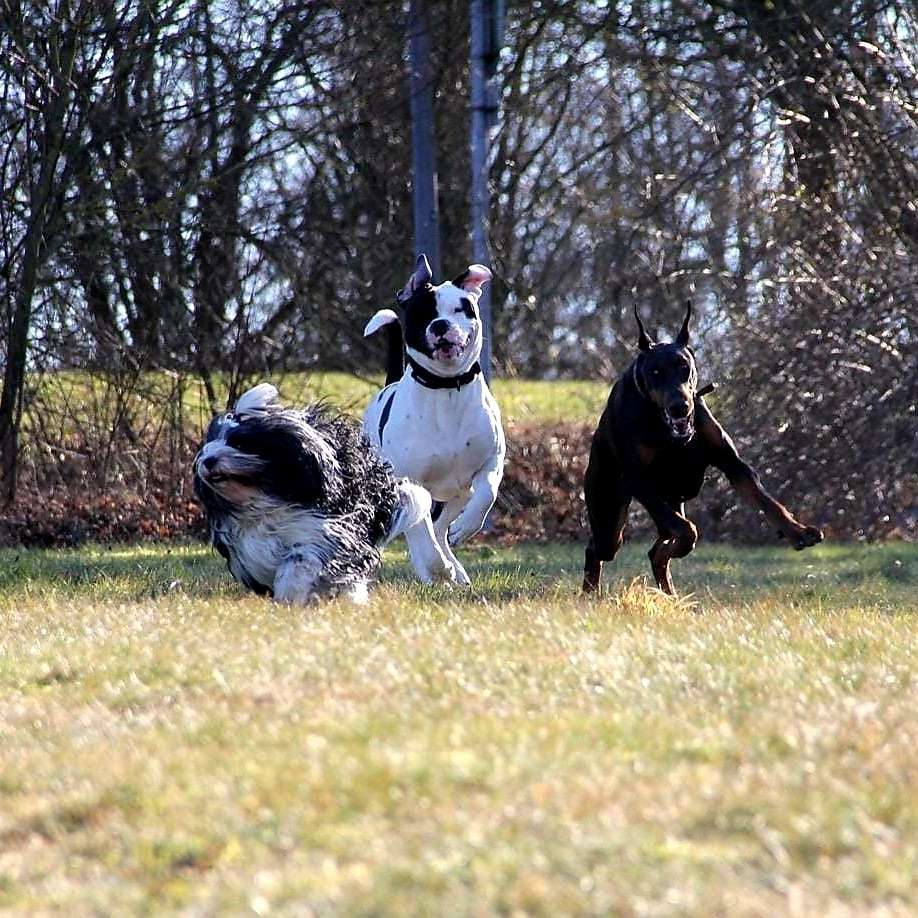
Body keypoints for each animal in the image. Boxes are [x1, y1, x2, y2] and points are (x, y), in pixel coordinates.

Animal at [196, 382, 454, 604]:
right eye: (207, 446)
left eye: (239, 443)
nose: (208, 461)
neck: (262, 500)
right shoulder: (251, 550)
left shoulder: (324, 533)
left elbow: (300, 560)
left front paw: (291, 594)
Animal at [362, 255, 506, 584]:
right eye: (422, 312)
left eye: (460, 308)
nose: (440, 325)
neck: (446, 386)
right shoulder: (409, 483)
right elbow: (422, 536)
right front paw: (438, 567)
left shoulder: (490, 461)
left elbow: (487, 493)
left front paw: (465, 529)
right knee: (421, 531)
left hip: (456, 493)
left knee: (440, 527)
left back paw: (457, 567)